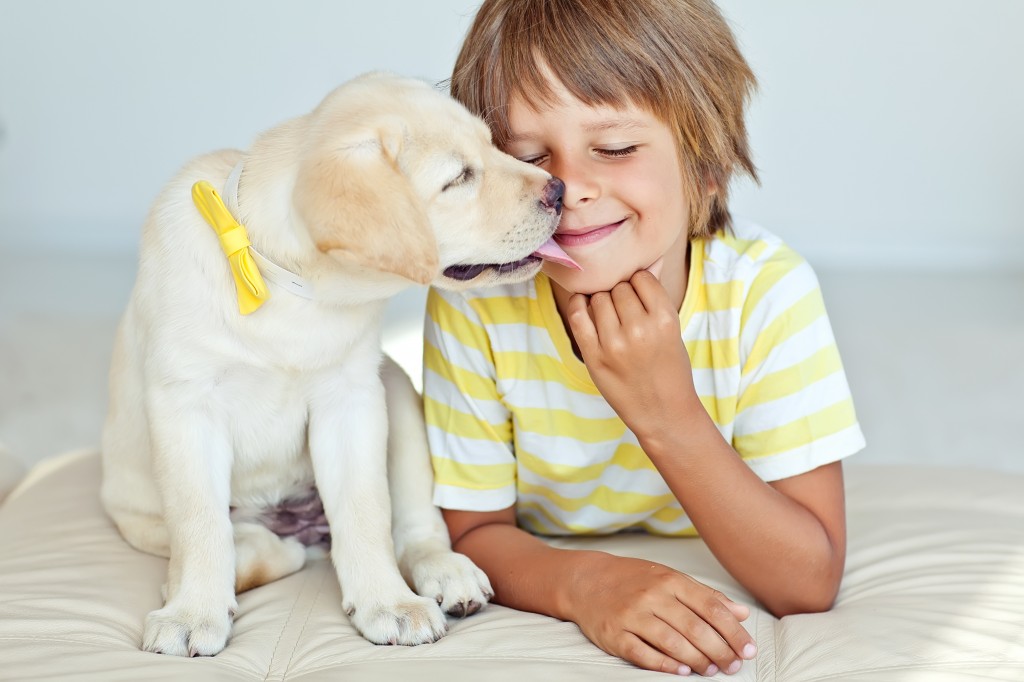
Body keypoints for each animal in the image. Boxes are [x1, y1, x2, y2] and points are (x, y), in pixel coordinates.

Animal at [99, 73, 573, 655]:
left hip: (397, 391)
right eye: (459, 178)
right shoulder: (185, 405)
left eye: (494, 147)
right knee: (240, 540)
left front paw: (387, 603)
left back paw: (445, 571)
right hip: (133, 510)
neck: (285, 284)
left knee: (414, 527)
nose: (559, 190)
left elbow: (367, 513)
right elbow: (199, 522)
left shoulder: (352, 399)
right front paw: (191, 612)